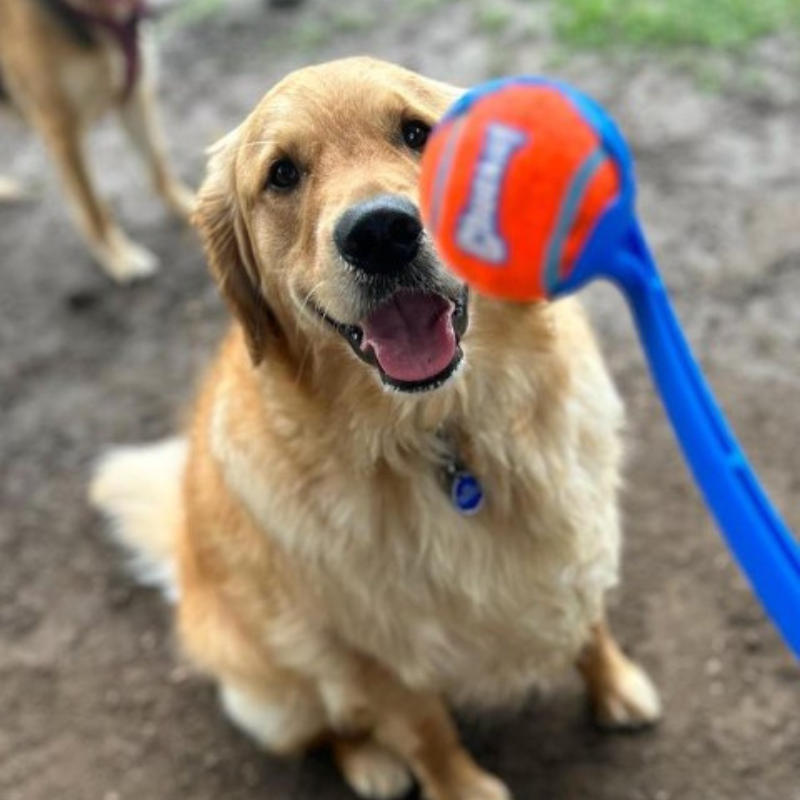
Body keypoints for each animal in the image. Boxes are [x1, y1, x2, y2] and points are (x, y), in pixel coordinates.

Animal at [90, 57, 660, 800]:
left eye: (417, 132)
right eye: (282, 173)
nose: (381, 233)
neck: (440, 435)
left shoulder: (575, 535)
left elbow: (589, 624)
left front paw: (616, 687)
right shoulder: (367, 648)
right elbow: (427, 731)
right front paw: (462, 789)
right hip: (274, 691)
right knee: (329, 730)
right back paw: (372, 764)